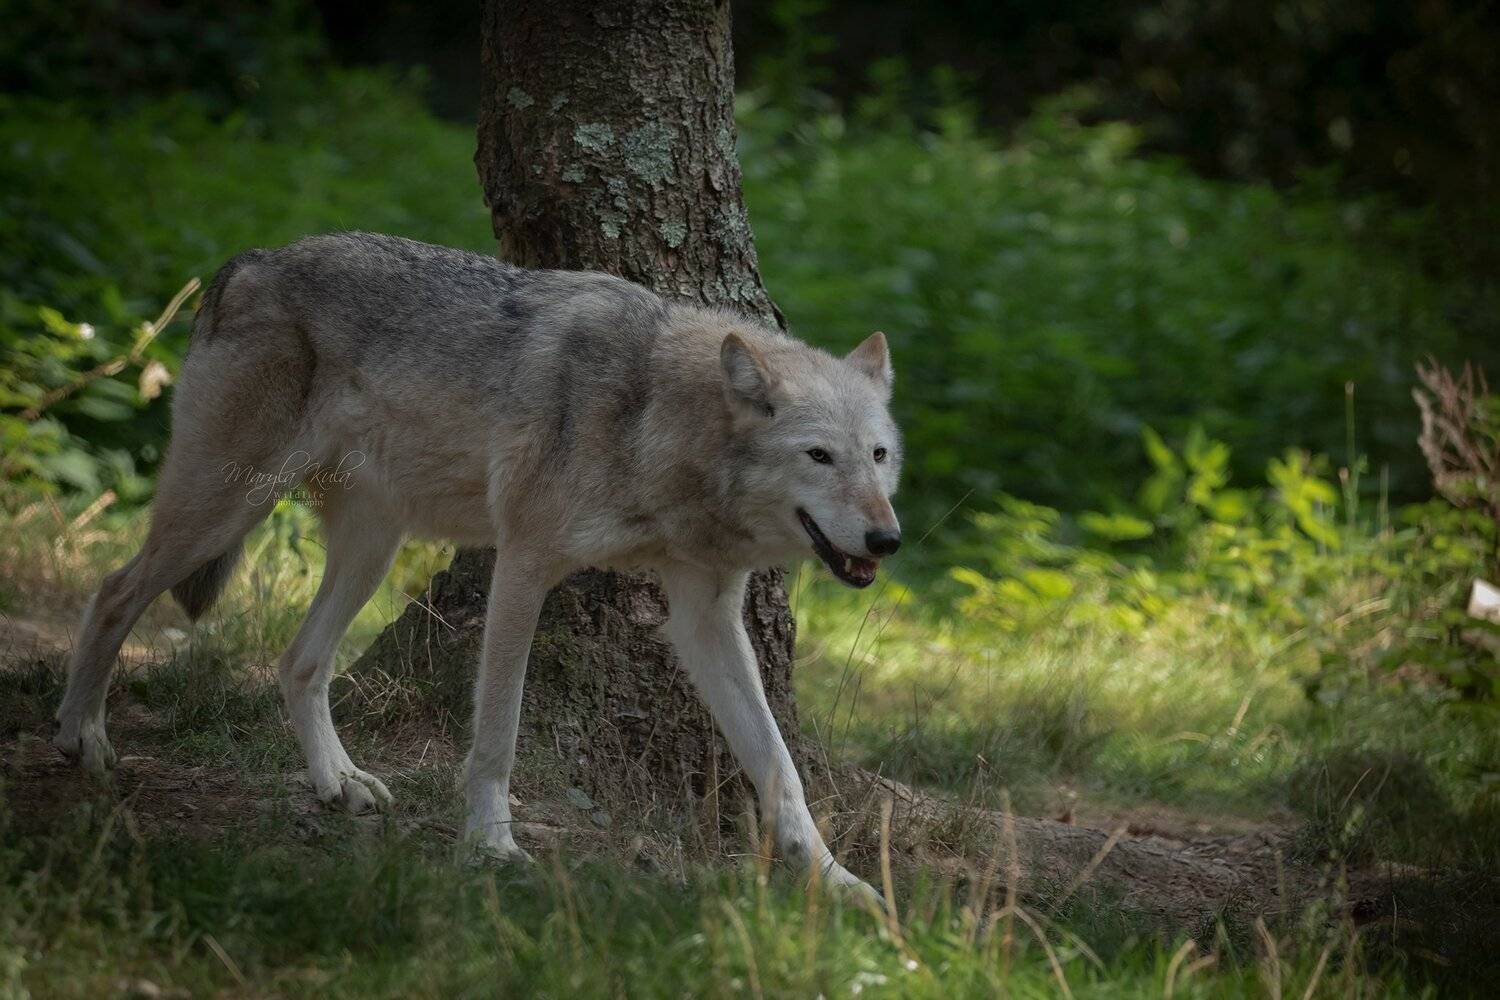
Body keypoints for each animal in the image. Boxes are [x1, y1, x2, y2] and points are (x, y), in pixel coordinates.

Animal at [53, 232, 902, 894]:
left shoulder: (705, 616)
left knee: (298, 661)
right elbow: (498, 733)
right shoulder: (524, 563)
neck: (655, 415)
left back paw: (336, 784)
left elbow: (780, 767)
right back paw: (82, 739)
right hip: (225, 511)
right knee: (111, 593)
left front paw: (838, 882)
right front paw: (492, 844)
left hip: (369, 548)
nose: (887, 540)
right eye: (819, 456)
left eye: (879, 456)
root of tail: (249, 260)